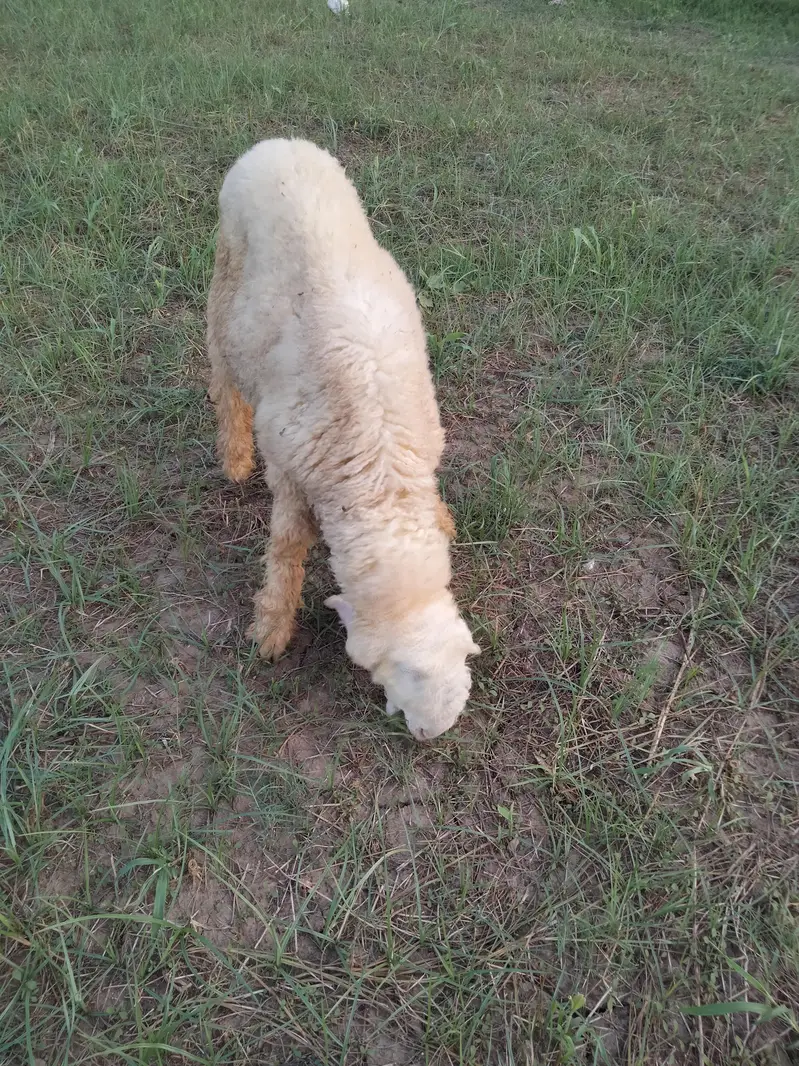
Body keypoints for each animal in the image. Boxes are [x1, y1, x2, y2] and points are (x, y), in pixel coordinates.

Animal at [207, 138, 480, 741]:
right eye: (397, 675)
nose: (429, 736)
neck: (382, 474)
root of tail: (275, 143)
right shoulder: (292, 474)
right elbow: (286, 551)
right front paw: (271, 626)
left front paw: (446, 520)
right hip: (225, 275)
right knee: (222, 372)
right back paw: (234, 456)